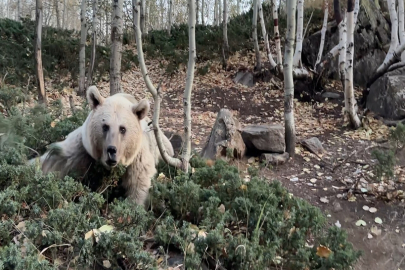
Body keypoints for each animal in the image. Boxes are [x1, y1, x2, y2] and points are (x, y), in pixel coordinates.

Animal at [28, 85, 174, 206]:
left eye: (122, 129)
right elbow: (56, 160)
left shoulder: (137, 157)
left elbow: (138, 183)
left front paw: (133, 207)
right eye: (105, 126)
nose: (111, 151)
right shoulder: (83, 148)